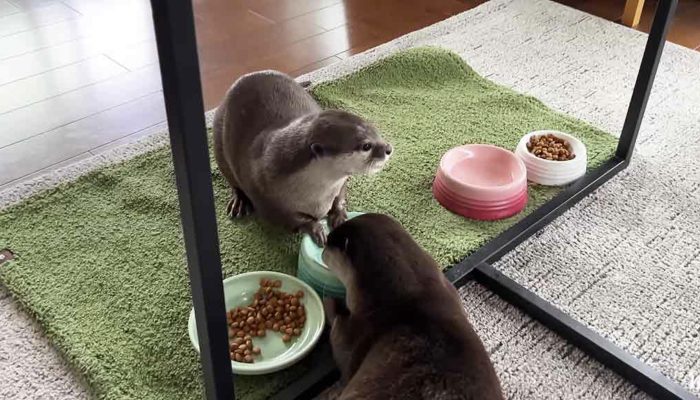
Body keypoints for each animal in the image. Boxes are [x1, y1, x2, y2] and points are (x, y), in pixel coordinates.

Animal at [213, 71, 391, 245]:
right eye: (366, 146)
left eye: (376, 131)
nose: (388, 148)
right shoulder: (268, 202)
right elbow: (292, 219)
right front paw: (315, 228)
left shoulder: (340, 184)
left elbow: (340, 195)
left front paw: (339, 215)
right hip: (220, 146)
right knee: (232, 180)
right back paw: (239, 202)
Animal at [321, 214, 503, 400]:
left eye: (328, 242)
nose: (322, 247)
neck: (410, 296)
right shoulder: (449, 289)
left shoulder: (357, 332)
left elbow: (340, 342)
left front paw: (326, 298)